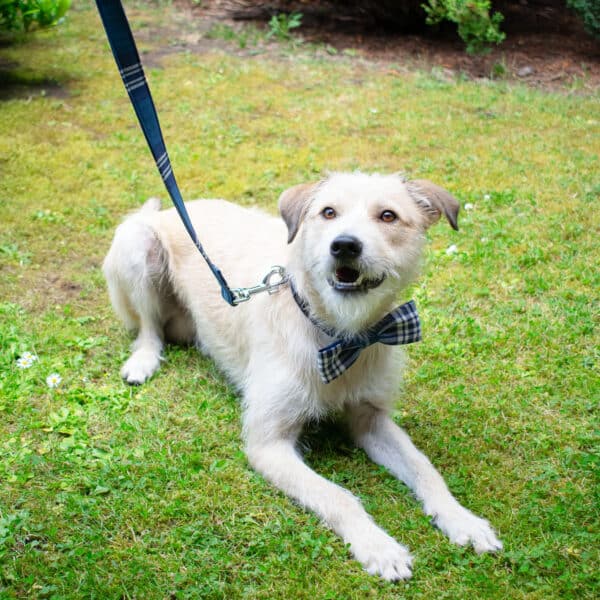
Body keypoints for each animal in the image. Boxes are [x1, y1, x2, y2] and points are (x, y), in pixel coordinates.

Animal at [102, 172, 502, 580]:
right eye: (328, 212)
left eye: (388, 216)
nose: (344, 246)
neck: (338, 336)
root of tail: (163, 212)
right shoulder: (268, 444)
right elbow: (338, 497)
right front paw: (378, 545)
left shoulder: (370, 420)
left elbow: (425, 469)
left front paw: (461, 519)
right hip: (138, 249)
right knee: (149, 328)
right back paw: (144, 360)